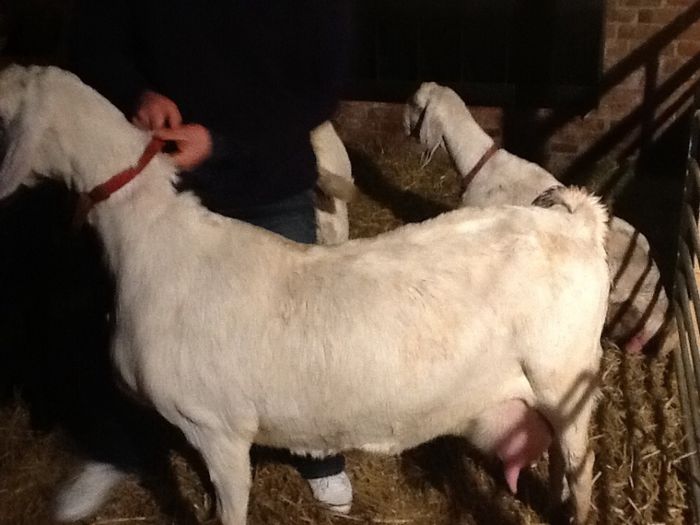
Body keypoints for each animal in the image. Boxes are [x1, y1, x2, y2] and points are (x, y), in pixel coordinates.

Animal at [0, 65, 609, 525]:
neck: (151, 237)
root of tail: (578, 223)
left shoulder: (216, 427)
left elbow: (231, 508)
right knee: (563, 462)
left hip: (563, 374)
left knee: (581, 470)